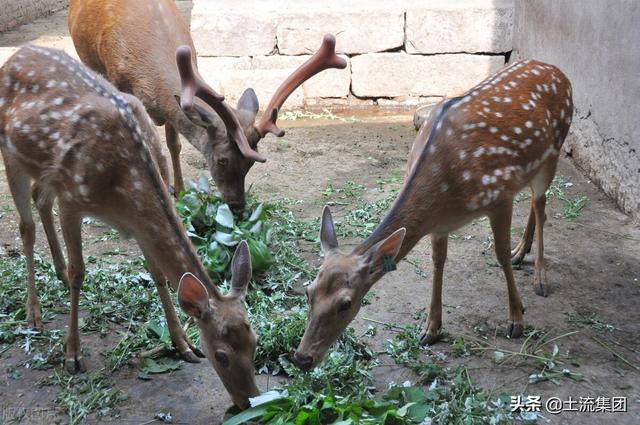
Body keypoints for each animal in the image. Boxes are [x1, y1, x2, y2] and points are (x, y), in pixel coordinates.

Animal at [0, 45, 262, 408]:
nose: (250, 402)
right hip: (12, 156)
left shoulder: (135, 221)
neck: (122, 186)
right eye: (221, 355)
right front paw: (72, 354)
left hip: (43, 169)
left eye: (255, 343)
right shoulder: (72, 198)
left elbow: (158, 273)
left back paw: (57, 269)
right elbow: (80, 274)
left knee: (41, 199)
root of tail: (16, 55)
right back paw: (34, 312)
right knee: (26, 228)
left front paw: (183, 344)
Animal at [68, 0, 348, 212]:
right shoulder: (120, 85)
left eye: (250, 164)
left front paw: (180, 192)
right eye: (222, 160)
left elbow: (174, 144)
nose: (238, 207)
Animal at [292, 60, 572, 372]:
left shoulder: (499, 196)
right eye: (308, 291)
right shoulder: (439, 225)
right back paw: (521, 251)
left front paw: (517, 319)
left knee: (540, 205)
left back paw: (539, 278)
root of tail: (557, 70)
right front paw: (430, 328)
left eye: (345, 303)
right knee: (535, 205)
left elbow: (499, 255)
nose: (302, 358)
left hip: (554, 151)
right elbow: (438, 263)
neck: (446, 190)